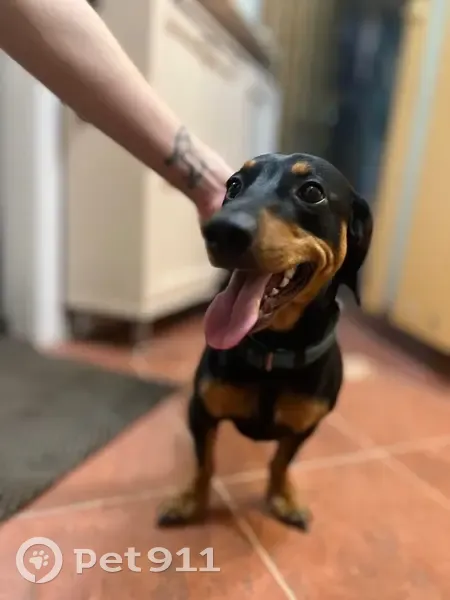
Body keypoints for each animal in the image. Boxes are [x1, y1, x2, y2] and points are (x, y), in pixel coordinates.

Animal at [157, 153, 373, 531]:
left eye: (312, 191)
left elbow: (281, 461)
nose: (220, 231)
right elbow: (204, 462)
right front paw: (190, 501)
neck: (274, 353)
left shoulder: (305, 426)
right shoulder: (202, 411)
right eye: (233, 185)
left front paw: (283, 497)